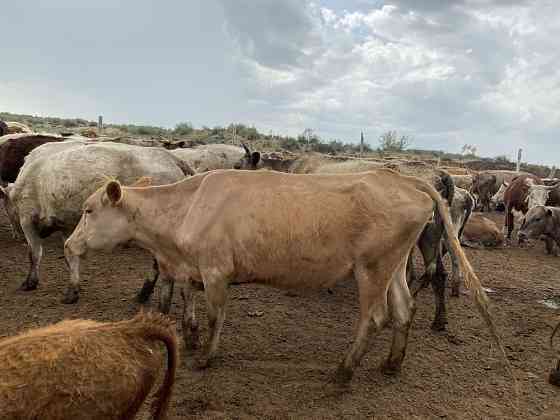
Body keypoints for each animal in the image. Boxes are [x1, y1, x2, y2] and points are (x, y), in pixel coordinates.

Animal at [0, 143, 195, 304]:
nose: (15, 234)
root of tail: (171, 157)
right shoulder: (66, 225)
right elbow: (69, 254)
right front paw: (74, 287)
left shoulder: (27, 218)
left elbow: (34, 254)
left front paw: (30, 282)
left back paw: (145, 293)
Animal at [63, 169, 500, 382]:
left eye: (88, 210)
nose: (68, 244)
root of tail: (403, 179)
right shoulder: (194, 269)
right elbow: (189, 304)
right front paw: (189, 337)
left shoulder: (217, 271)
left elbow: (215, 316)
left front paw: (204, 356)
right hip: (394, 265)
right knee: (405, 310)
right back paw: (391, 364)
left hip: (372, 268)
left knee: (375, 317)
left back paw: (344, 370)